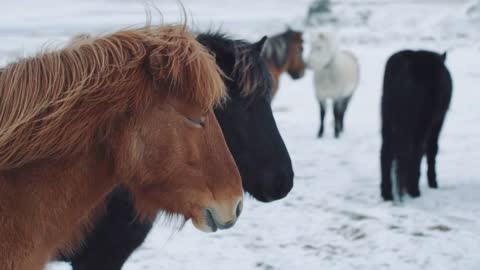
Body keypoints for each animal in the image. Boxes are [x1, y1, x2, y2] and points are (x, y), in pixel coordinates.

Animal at [380, 49, 452, 200]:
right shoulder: (437, 122)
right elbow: (432, 150)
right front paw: (433, 182)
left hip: (387, 121)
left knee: (386, 152)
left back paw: (387, 193)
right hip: (422, 124)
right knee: (416, 151)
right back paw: (413, 189)